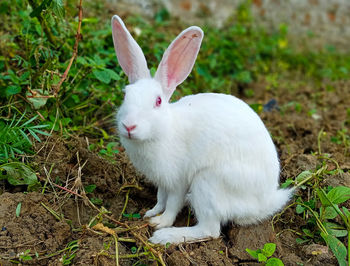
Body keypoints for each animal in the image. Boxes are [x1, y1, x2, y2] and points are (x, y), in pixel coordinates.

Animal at [111, 14, 292, 243]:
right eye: (125, 95)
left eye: (158, 101)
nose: (129, 125)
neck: (164, 130)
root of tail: (264, 202)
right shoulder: (163, 182)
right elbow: (161, 198)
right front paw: (151, 212)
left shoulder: (178, 180)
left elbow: (172, 204)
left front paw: (160, 223)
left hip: (208, 183)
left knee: (210, 230)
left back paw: (166, 237)